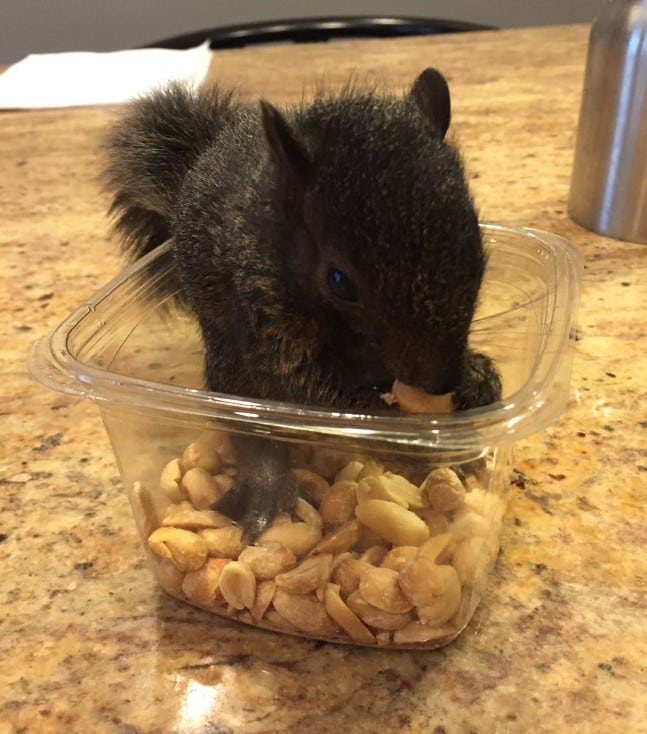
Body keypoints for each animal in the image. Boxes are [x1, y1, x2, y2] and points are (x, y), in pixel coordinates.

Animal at [103, 68, 501, 539]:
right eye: (339, 280)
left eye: (475, 238)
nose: (441, 381)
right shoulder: (263, 310)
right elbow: (304, 384)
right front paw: (402, 433)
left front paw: (478, 375)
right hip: (229, 368)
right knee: (252, 426)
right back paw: (266, 487)